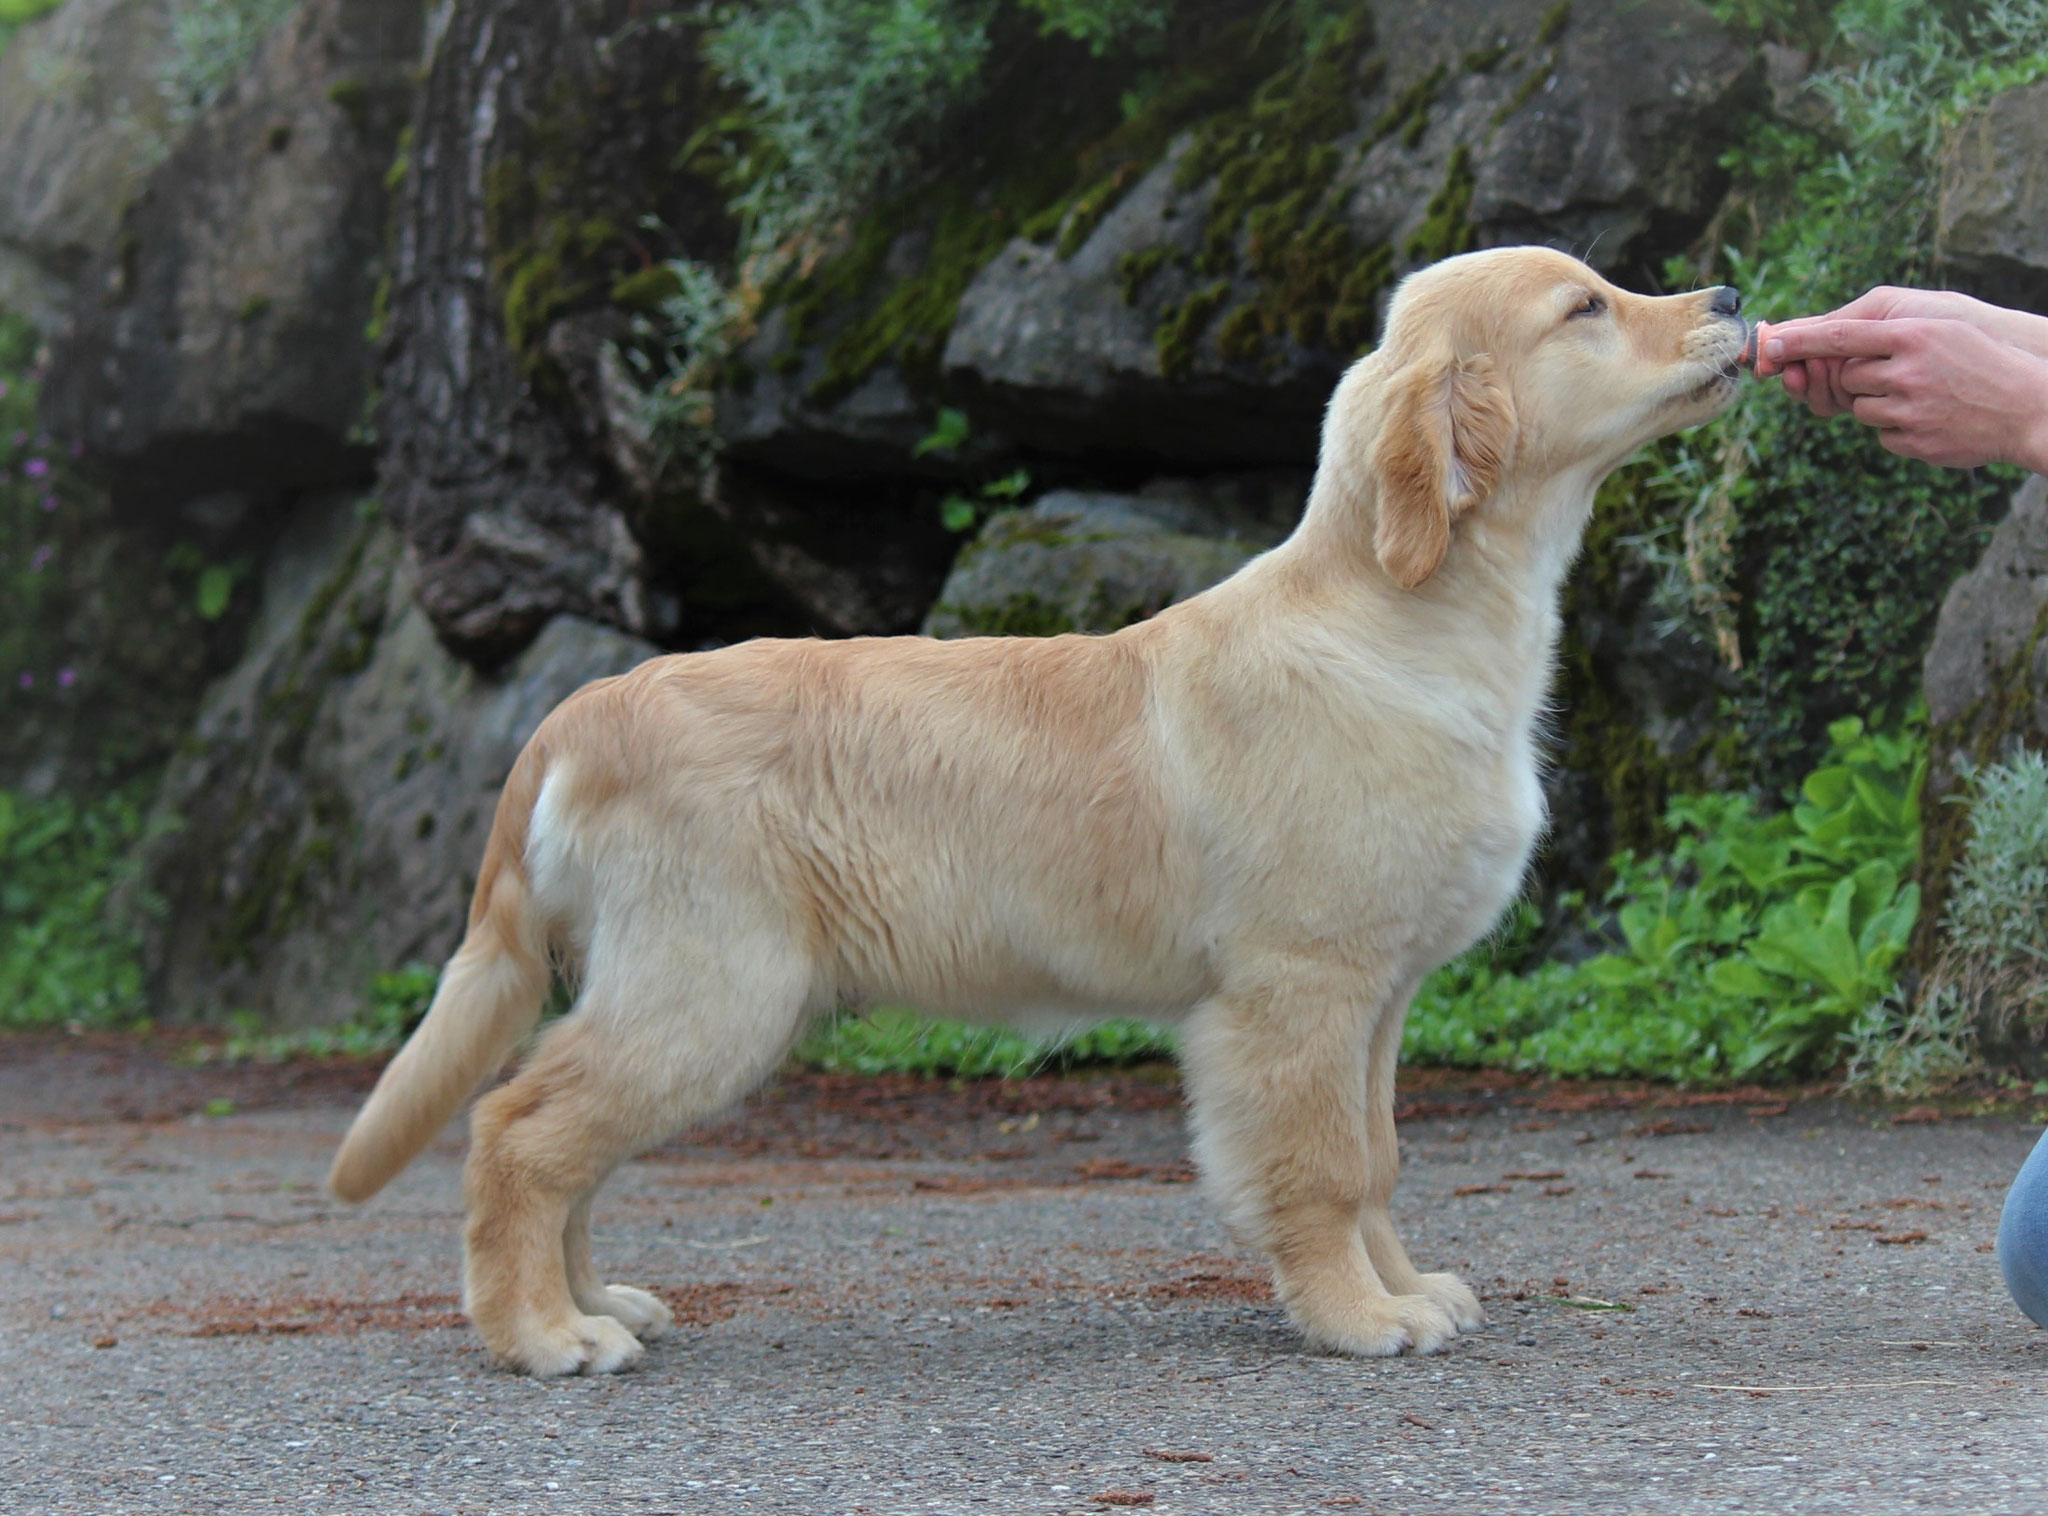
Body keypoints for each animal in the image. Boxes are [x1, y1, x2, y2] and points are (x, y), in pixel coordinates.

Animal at [329, 245, 1748, 1376]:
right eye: (1585, 306)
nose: (1732, 295)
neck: (1402, 620)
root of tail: (585, 706)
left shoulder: (1378, 997)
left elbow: (1379, 1156)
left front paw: (1404, 1286)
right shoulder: (1295, 987)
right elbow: (1322, 1165)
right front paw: (1355, 1317)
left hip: (676, 986)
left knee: (562, 1137)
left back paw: (593, 1301)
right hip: (714, 982)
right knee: (518, 1129)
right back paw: (539, 1335)